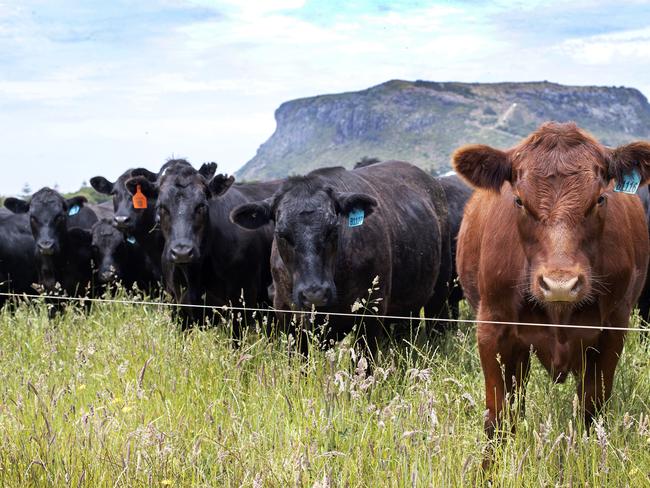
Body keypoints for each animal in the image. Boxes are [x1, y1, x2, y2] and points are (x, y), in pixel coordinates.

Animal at [125, 160, 280, 332]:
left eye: (201, 205)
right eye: (161, 206)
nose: (182, 252)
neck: (194, 275)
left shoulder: (242, 304)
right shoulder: (177, 308)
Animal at [229, 162, 450, 356]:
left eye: (333, 228)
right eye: (281, 233)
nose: (314, 293)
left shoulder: (370, 312)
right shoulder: (286, 312)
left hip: (439, 293)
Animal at [454, 121, 648, 438]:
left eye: (600, 198)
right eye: (519, 200)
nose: (560, 285)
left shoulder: (612, 330)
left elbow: (590, 409)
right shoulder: (492, 328)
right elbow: (498, 416)